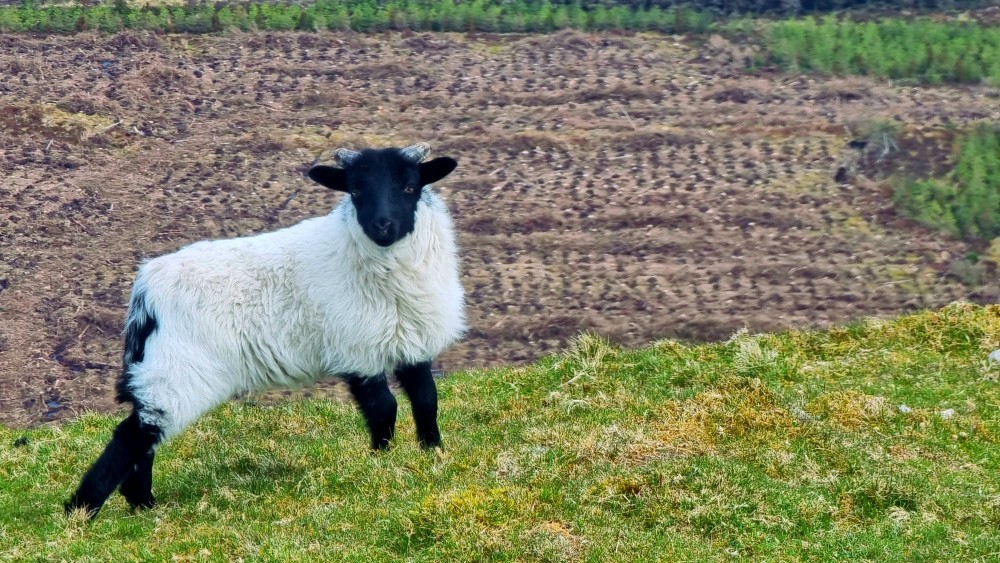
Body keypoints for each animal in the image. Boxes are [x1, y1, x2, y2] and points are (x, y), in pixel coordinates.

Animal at [66, 143, 464, 516]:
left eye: (411, 186)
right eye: (355, 190)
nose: (382, 226)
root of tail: (146, 289)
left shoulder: (411, 342)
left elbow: (426, 400)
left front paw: (432, 452)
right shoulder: (356, 350)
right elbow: (385, 408)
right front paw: (382, 459)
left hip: (162, 368)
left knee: (143, 436)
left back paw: (141, 505)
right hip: (179, 369)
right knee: (133, 434)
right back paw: (82, 510)